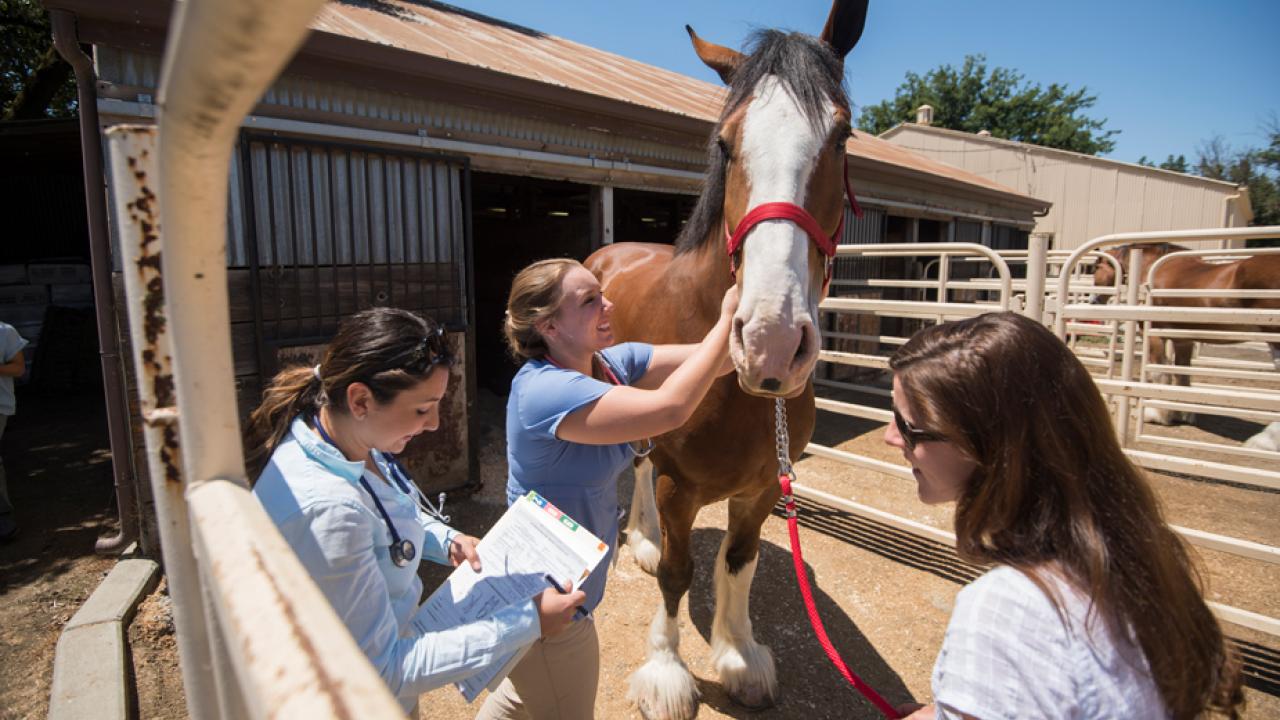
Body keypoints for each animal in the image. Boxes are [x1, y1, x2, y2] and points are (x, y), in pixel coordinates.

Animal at [584, 2, 868, 718]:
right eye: (725, 143)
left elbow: (739, 563)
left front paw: (739, 656)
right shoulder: (679, 486)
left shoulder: (765, 486)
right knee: (636, 469)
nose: (771, 338)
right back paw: (643, 540)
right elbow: (680, 573)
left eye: (842, 137)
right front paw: (666, 671)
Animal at [1092, 243, 1280, 437]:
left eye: (1096, 268)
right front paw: (1181, 415)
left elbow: (1160, 373)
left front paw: (1157, 415)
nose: (1095, 300)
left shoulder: (1155, 335)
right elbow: (1182, 376)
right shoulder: (1183, 340)